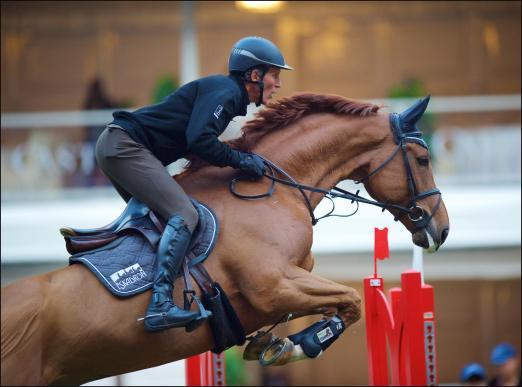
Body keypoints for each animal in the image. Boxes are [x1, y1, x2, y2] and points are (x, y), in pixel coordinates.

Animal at [1, 92, 446, 386]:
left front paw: (273, 343)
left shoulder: (286, 287)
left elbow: (332, 306)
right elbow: (351, 302)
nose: (440, 229)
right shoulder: (274, 284)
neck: (273, 188)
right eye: (423, 160)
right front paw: (301, 344)